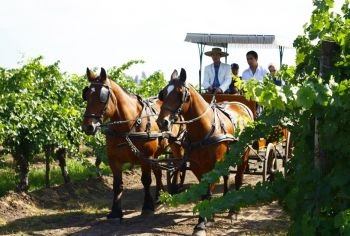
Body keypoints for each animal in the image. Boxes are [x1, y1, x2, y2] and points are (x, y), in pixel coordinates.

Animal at [80, 67, 182, 220]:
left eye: (102, 97)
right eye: (86, 95)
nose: (88, 127)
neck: (128, 127)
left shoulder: (145, 158)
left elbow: (146, 180)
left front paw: (147, 207)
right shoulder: (114, 160)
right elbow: (117, 185)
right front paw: (115, 211)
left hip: (175, 144)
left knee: (178, 165)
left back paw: (175, 188)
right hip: (156, 154)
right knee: (158, 171)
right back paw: (159, 195)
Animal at [157, 68, 253, 234]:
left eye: (180, 93)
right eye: (163, 93)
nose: (162, 122)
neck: (204, 130)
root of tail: (242, 106)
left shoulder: (213, 165)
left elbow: (208, 190)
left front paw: (201, 223)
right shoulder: (197, 165)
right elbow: (204, 191)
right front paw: (208, 215)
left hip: (244, 154)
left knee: (238, 179)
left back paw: (234, 210)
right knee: (226, 176)